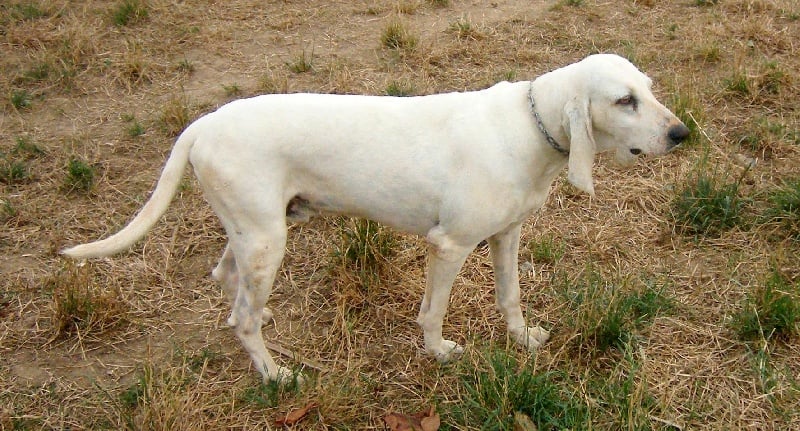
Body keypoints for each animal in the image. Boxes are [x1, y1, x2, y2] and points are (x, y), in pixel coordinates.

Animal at [64, 54, 688, 384]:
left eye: (649, 89)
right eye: (624, 100)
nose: (683, 134)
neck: (529, 125)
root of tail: (202, 124)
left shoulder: (506, 236)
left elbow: (509, 297)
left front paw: (522, 338)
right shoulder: (450, 245)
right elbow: (433, 312)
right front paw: (438, 354)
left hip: (257, 232)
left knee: (227, 281)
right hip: (268, 241)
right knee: (242, 316)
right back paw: (275, 375)